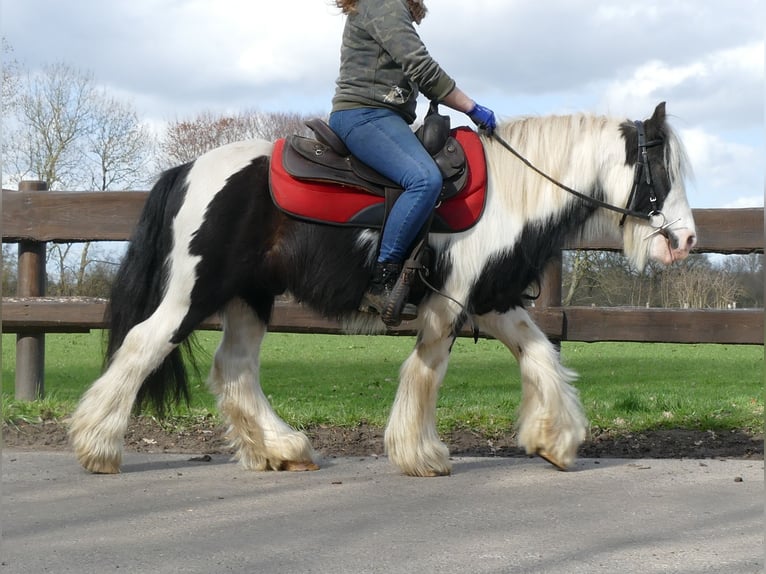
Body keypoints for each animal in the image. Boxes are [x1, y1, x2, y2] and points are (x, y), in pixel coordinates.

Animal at [69, 102, 700, 476]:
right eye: (661, 171)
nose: (687, 239)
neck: (509, 194)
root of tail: (187, 170)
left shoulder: (492, 300)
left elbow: (542, 356)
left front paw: (557, 439)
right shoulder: (449, 305)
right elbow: (426, 372)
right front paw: (421, 454)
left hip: (250, 297)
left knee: (235, 369)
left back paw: (282, 449)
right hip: (193, 294)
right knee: (143, 346)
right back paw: (98, 446)